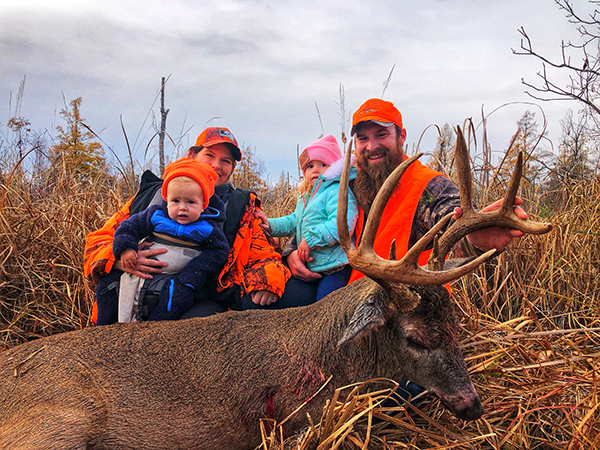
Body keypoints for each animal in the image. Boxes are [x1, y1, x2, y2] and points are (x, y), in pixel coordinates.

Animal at [0, 125, 552, 450]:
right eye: (416, 337)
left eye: (457, 327)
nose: (471, 405)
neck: (332, 359)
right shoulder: (292, 421)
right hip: (62, 421)